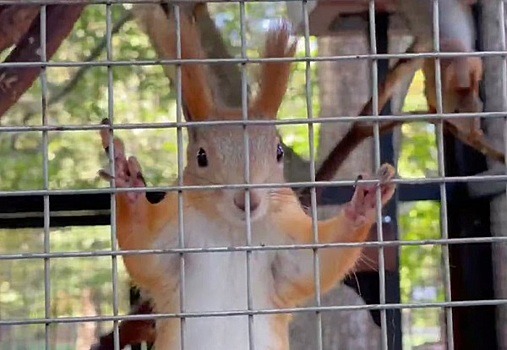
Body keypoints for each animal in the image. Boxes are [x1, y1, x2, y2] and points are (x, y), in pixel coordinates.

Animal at [95, 5, 396, 350]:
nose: (247, 200)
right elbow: (144, 250)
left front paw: (364, 204)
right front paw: (127, 182)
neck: (235, 233)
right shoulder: (172, 232)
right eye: (201, 157)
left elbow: (315, 264)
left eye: (278, 152)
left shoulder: (286, 235)